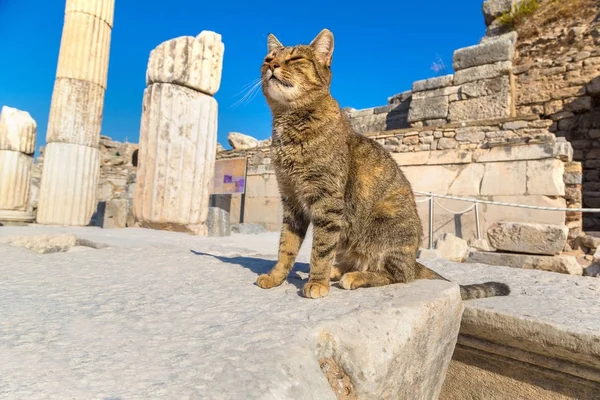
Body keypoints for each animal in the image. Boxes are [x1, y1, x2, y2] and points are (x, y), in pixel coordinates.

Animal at [254, 28, 510, 300]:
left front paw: (317, 282)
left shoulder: (327, 202)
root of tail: (413, 260)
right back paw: (340, 270)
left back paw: (354, 276)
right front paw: (275, 277)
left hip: (386, 225)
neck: (290, 126)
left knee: (398, 275)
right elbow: (286, 246)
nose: (272, 65)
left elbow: (321, 249)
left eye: (295, 59)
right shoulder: (292, 201)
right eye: (268, 58)